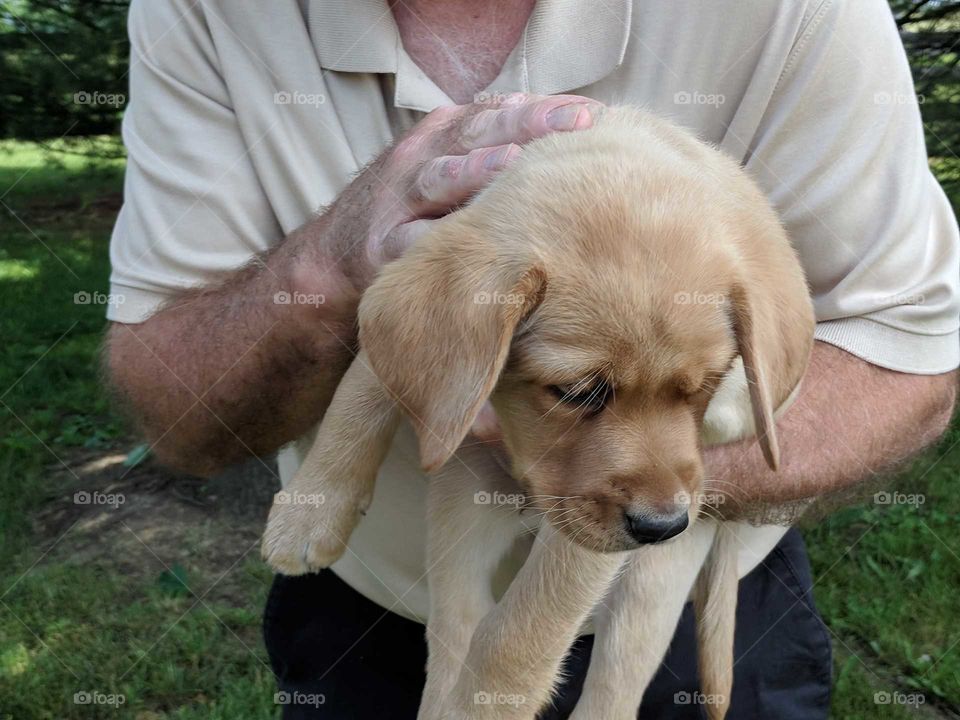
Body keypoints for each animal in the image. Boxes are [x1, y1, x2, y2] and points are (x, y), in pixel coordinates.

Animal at [260, 107, 808, 720]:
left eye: (705, 387)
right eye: (576, 393)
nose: (661, 525)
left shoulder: (589, 528)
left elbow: (520, 630)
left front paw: (488, 704)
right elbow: (365, 382)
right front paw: (311, 508)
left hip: (651, 583)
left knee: (611, 684)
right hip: (466, 500)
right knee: (454, 621)